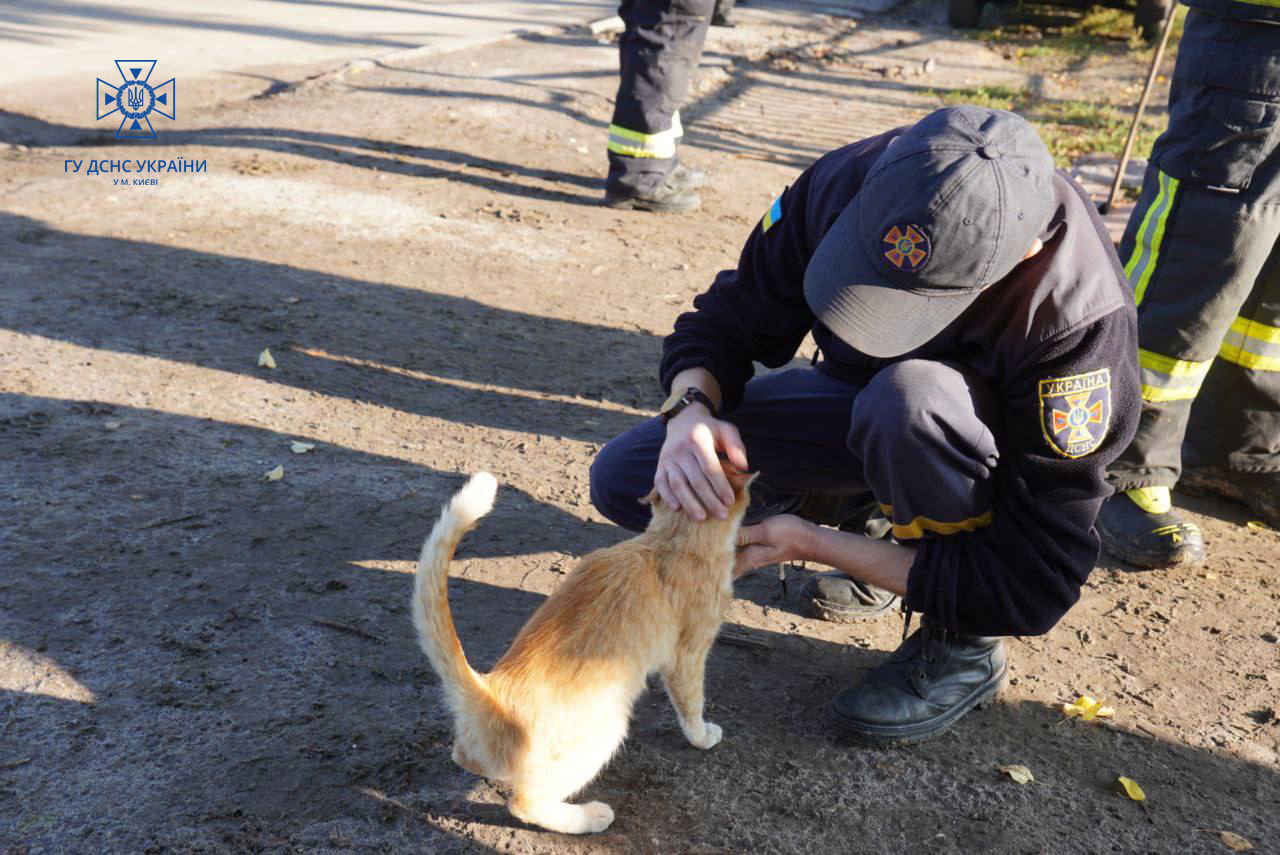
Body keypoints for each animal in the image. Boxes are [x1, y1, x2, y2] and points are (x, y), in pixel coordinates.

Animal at [412, 468, 747, 834]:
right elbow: (691, 705)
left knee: (462, 756)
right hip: (608, 729)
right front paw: (703, 736)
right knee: (524, 803)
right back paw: (590, 817)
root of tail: (492, 690)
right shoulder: (688, 656)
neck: (668, 540)